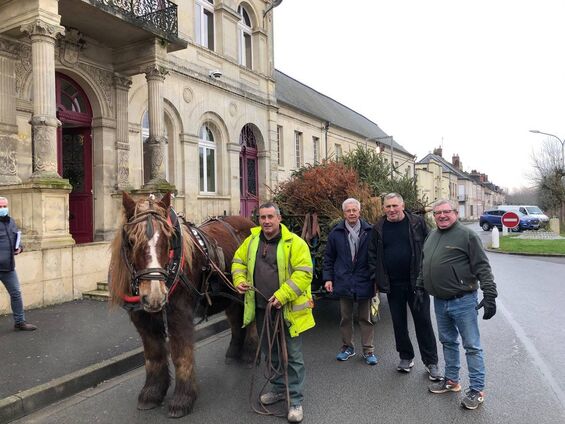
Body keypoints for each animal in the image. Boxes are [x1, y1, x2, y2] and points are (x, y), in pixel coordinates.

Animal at [108, 192, 258, 418]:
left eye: (168, 241)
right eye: (132, 241)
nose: (155, 296)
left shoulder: (180, 316)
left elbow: (181, 355)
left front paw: (182, 399)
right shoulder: (143, 321)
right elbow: (153, 356)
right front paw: (152, 393)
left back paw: (250, 352)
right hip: (231, 294)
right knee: (235, 319)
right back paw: (234, 352)